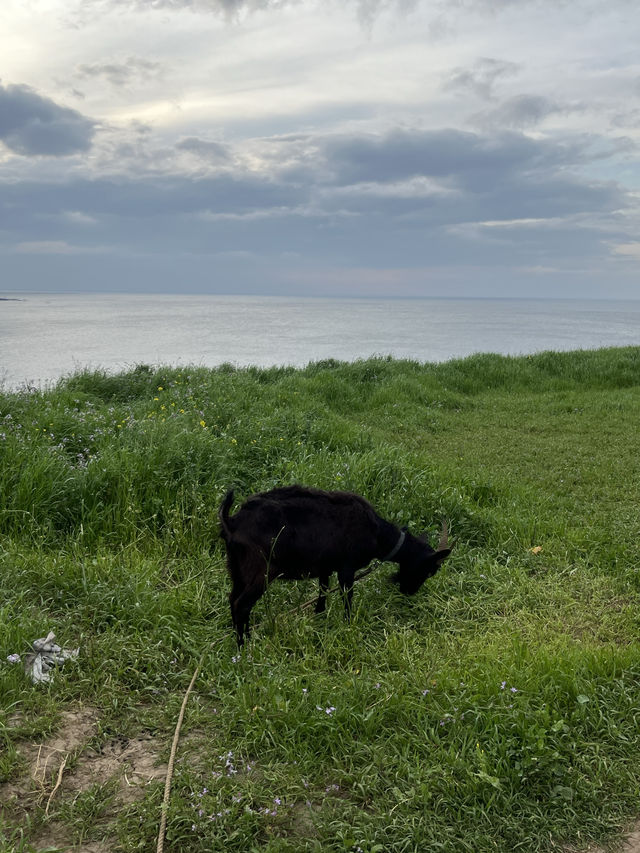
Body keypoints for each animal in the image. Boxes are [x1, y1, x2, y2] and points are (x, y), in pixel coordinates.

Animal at [218, 482, 452, 644]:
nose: (409, 592)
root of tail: (232, 522)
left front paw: (319, 618)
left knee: (232, 598)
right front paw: (348, 625)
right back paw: (243, 646)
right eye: (431, 570)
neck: (377, 533)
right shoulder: (346, 568)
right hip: (262, 570)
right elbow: (347, 597)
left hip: (237, 567)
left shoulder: (325, 567)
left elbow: (323, 592)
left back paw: (243, 636)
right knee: (242, 604)